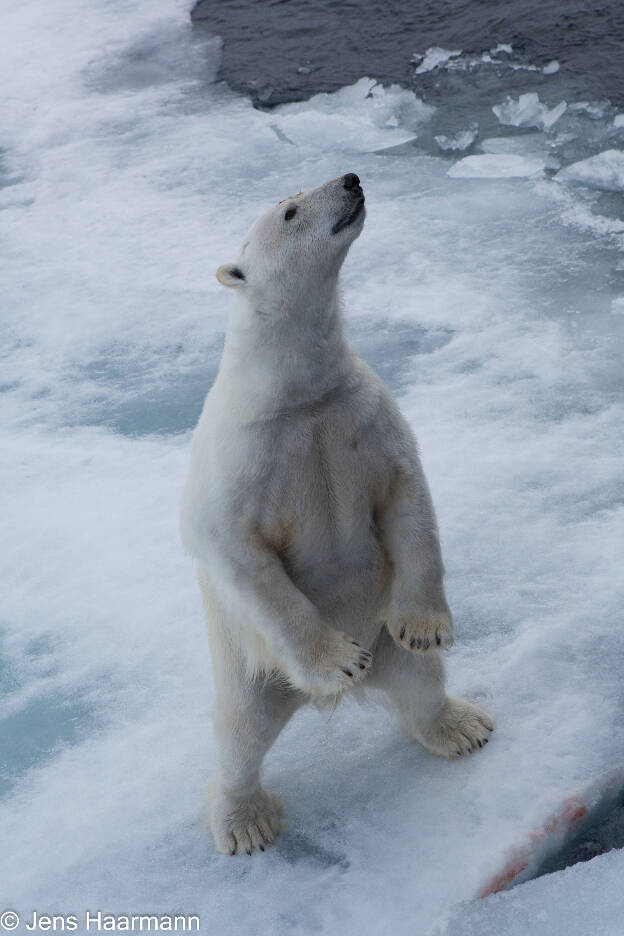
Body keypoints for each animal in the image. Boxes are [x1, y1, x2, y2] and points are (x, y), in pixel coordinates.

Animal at [179, 174, 492, 856]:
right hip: (253, 670)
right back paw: (246, 821)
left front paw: (426, 625)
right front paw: (338, 660)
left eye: (296, 195)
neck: (297, 395)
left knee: (419, 681)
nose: (351, 179)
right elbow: (238, 551)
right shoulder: (242, 456)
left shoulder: (362, 414)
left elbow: (409, 500)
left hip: (381, 634)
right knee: (239, 736)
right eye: (291, 211)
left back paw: (461, 726)